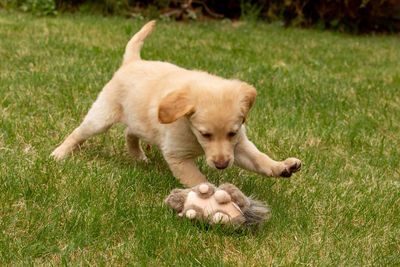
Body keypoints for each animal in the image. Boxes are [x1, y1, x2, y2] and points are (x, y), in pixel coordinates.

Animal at [50, 21, 300, 187]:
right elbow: (199, 181)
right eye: (205, 134)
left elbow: (258, 159)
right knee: (79, 132)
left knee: (130, 133)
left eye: (232, 133)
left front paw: (281, 166)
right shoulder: (178, 157)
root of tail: (132, 61)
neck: (191, 132)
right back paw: (59, 153)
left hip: (138, 120)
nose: (221, 165)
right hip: (102, 116)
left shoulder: (237, 146)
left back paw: (139, 157)